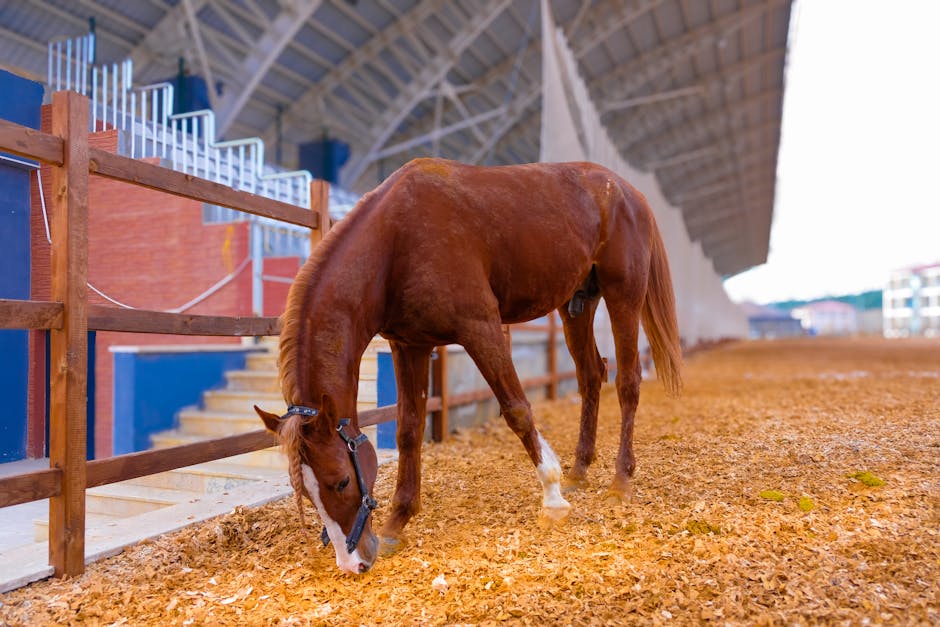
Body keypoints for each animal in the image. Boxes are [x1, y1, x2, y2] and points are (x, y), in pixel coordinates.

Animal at [255, 157, 684, 576]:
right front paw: (398, 521)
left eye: (342, 481)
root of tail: (628, 191)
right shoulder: (410, 345)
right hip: (577, 304)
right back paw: (579, 469)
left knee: (627, 382)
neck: (396, 241)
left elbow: (517, 411)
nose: (353, 563)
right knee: (591, 376)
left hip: (623, 294)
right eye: (306, 492)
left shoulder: (481, 328)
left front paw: (552, 498)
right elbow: (409, 430)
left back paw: (621, 479)